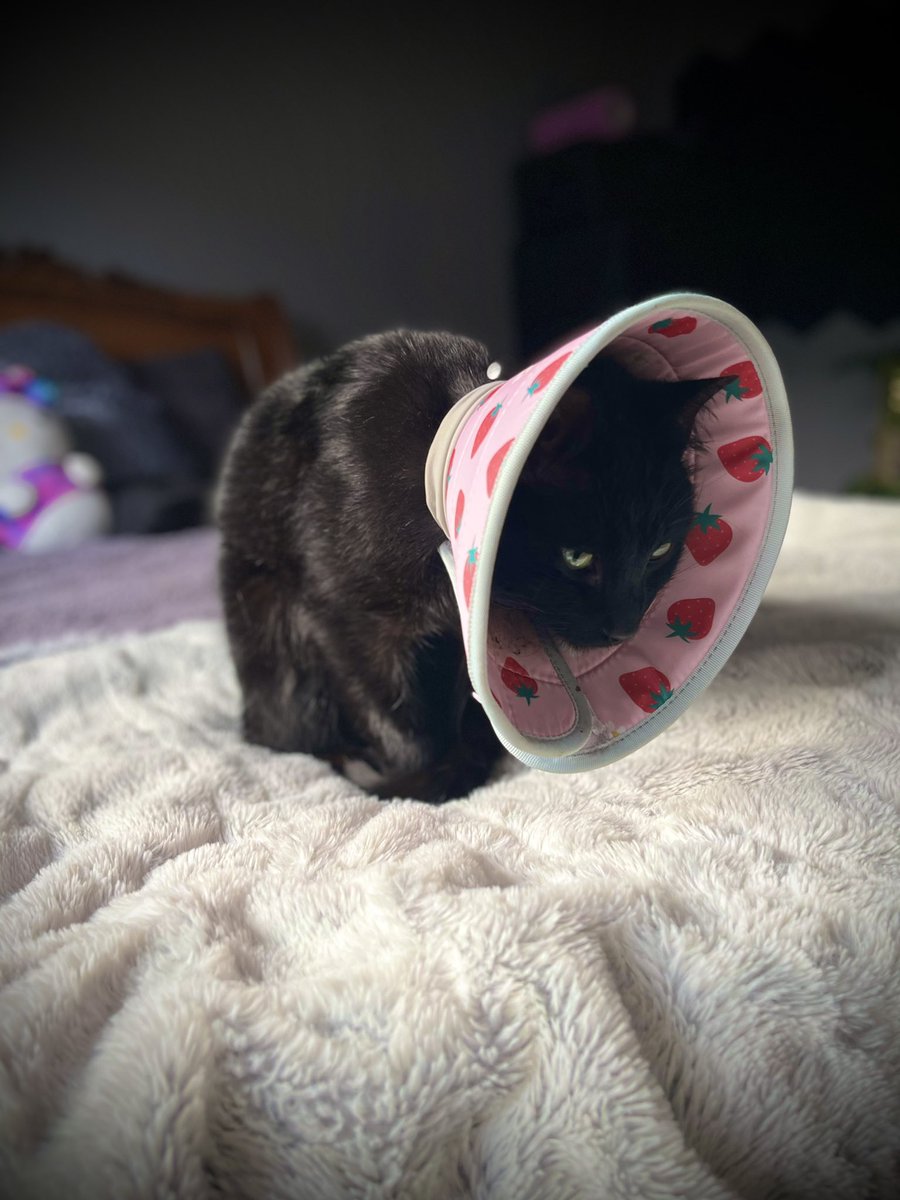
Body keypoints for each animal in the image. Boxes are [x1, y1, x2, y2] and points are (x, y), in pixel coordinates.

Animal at [218, 328, 734, 801]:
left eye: (659, 552)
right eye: (578, 557)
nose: (625, 629)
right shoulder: (343, 615)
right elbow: (397, 721)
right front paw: (416, 779)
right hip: (272, 626)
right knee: (287, 733)